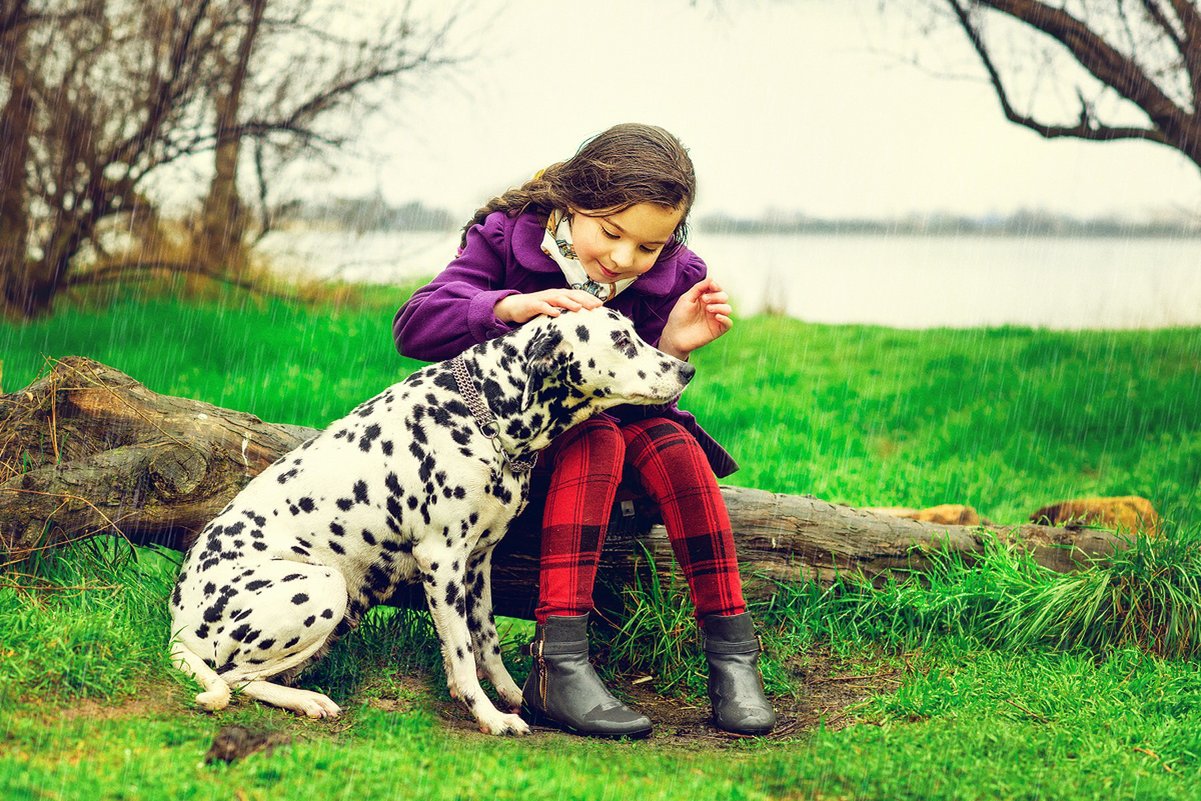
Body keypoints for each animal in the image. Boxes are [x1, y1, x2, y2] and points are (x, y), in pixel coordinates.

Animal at [169, 305, 696, 734]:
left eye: (636, 332)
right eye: (622, 340)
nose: (687, 369)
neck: (483, 413)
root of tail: (177, 621)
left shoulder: (478, 564)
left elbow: (487, 642)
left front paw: (512, 696)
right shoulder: (441, 562)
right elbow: (462, 653)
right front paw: (488, 716)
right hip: (324, 588)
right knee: (235, 678)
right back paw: (308, 700)